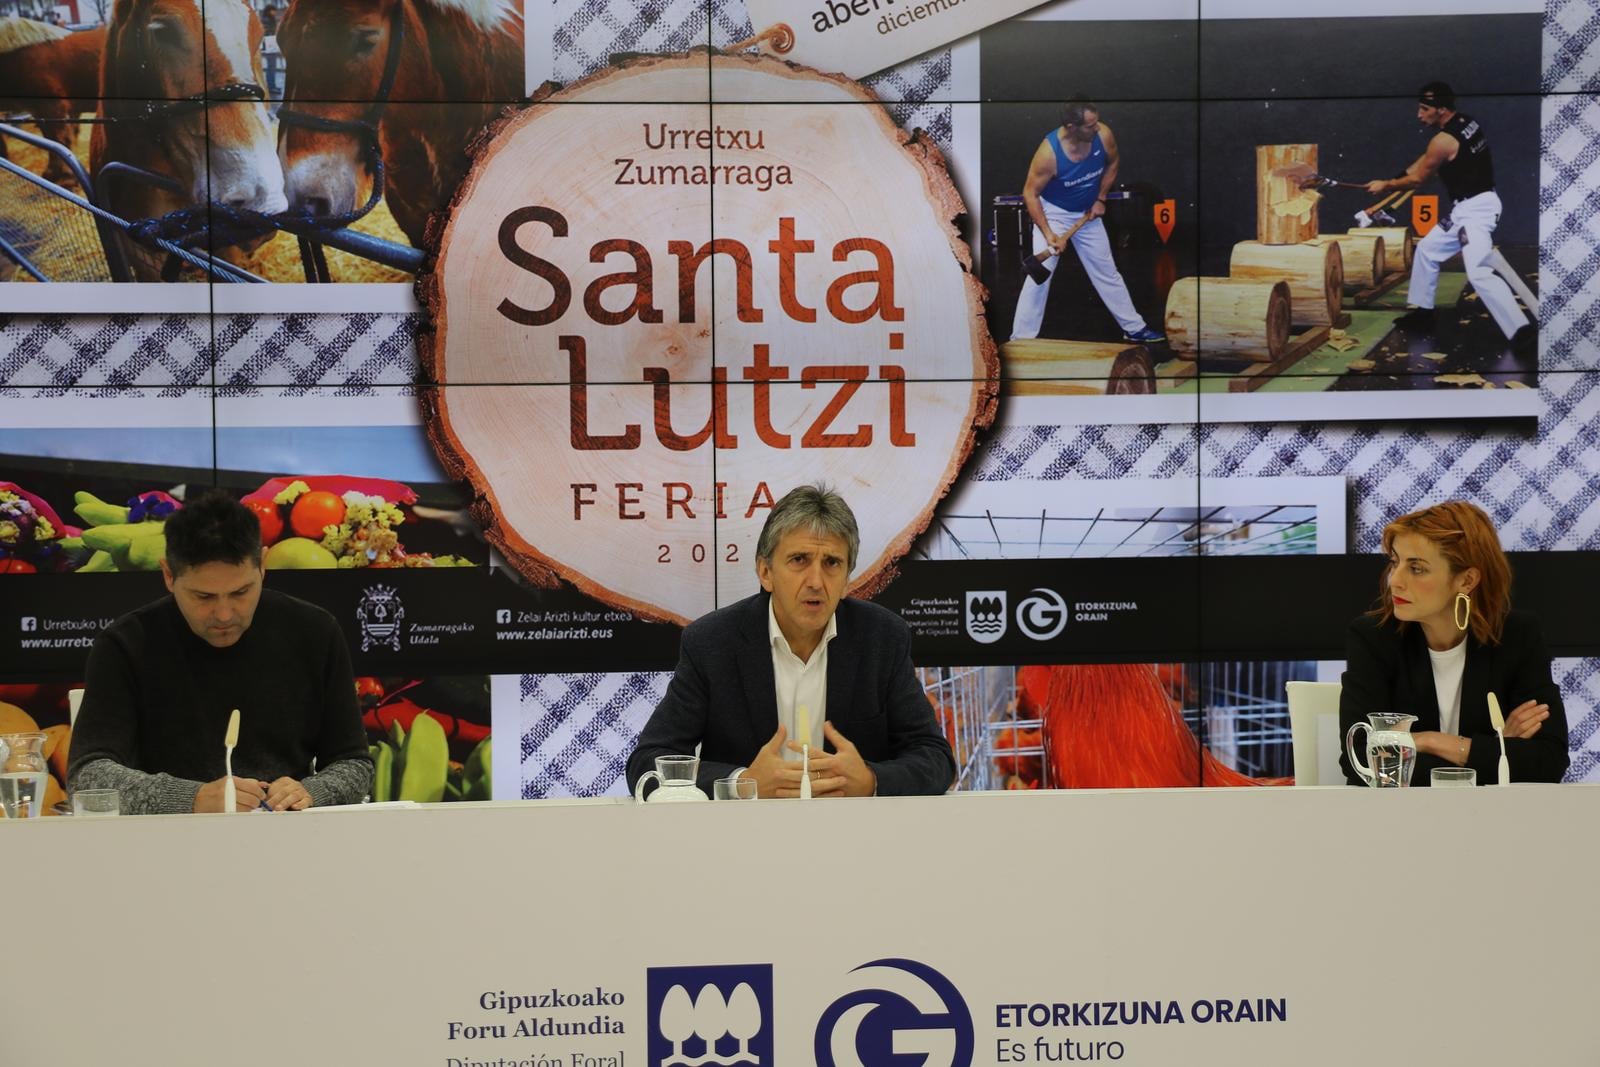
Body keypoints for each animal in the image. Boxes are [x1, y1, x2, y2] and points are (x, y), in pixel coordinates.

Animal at [0, 18, 103, 183]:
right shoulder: (39, 111)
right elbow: (50, 140)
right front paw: (53, 172)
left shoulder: (53, 106)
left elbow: (60, 140)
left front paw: (66, 176)